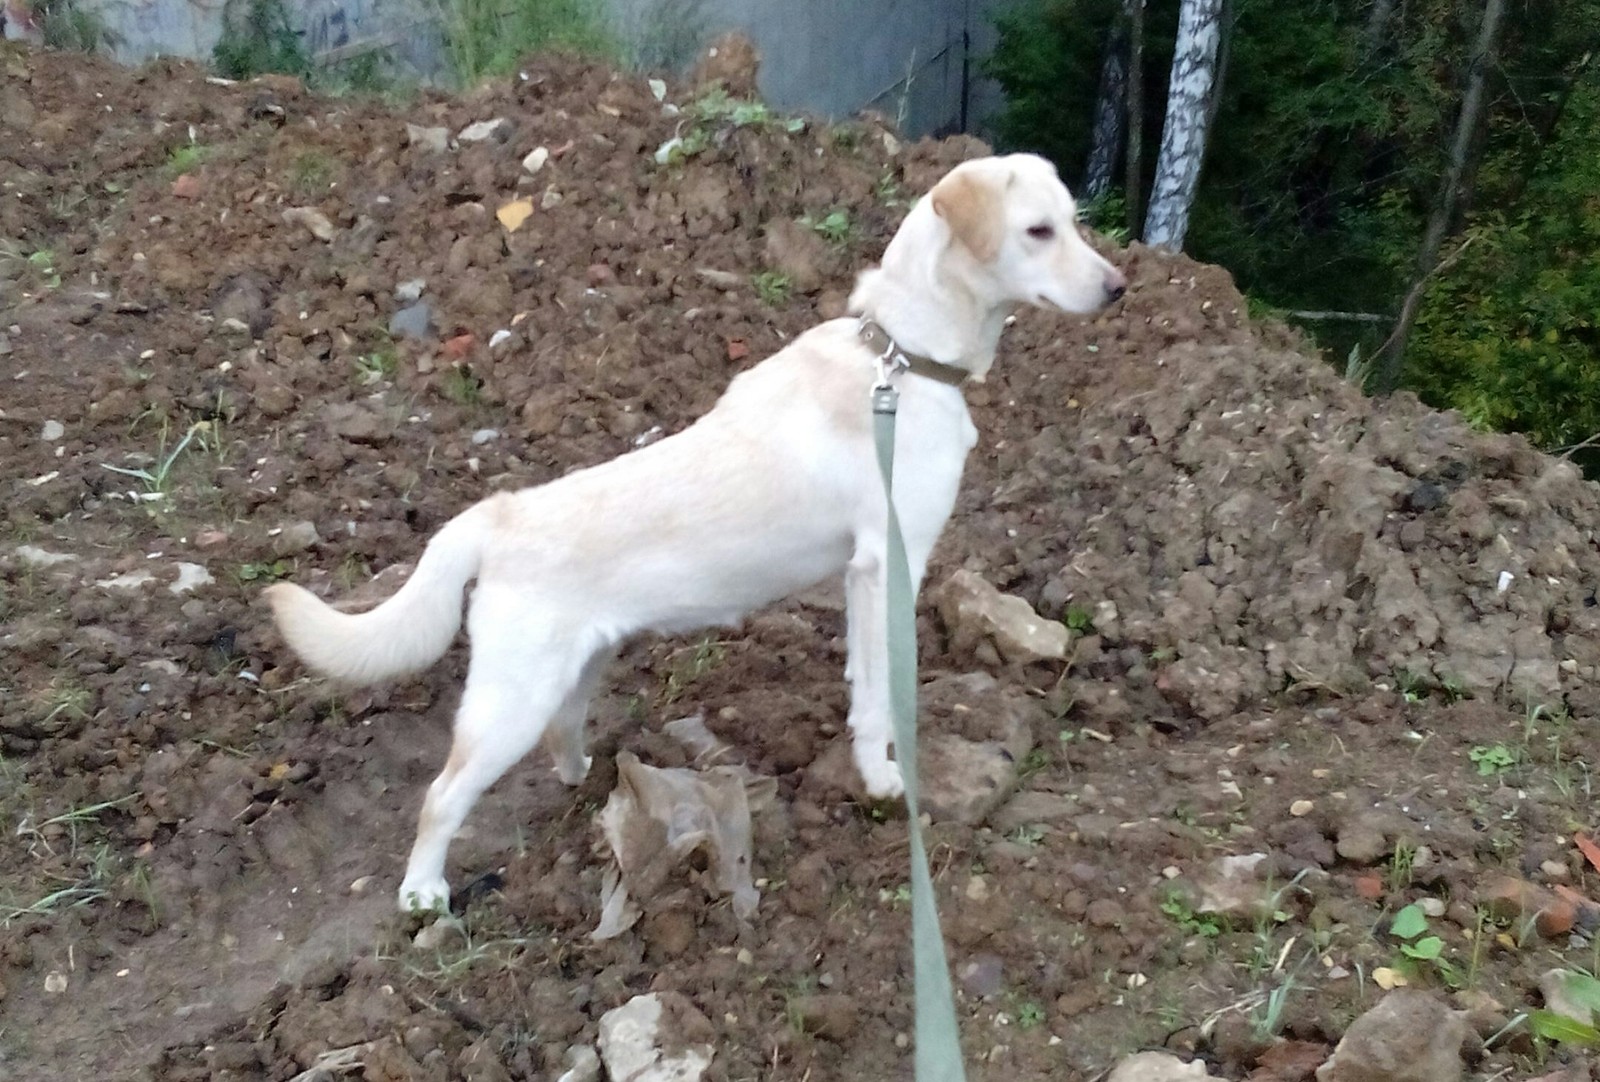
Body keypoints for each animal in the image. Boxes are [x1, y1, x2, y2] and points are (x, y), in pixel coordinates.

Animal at [268, 154, 1126, 915]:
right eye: (1039, 230)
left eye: (1076, 222)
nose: (1119, 287)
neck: (903, 357)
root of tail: (499, 514)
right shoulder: (891, 564)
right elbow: (884, 694)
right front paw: (886, 780)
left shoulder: (862, 575)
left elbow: (861, 683)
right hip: (508, 701)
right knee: (442, 795)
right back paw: (423, 894)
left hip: (571, 672)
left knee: (560, 735)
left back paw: (585, 775)